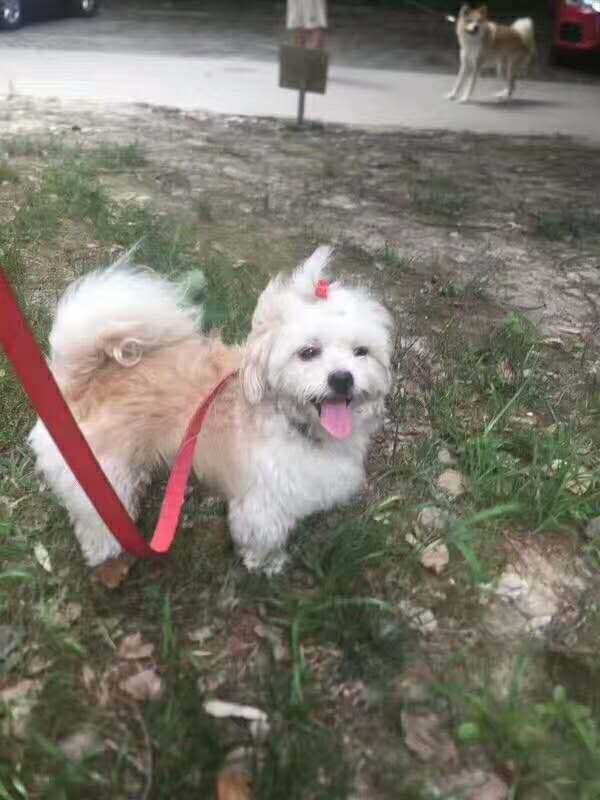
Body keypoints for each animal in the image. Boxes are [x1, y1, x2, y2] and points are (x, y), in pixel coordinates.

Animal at [29, 247, 393, 575]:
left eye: (361, 352)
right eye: (308, 352)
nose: (342, 378)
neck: (288, 420)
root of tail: (83, 380)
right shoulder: (262, 504)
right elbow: (264, 538)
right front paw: (267, 564)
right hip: (98, 469)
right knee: (95, 517)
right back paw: (106, 549)